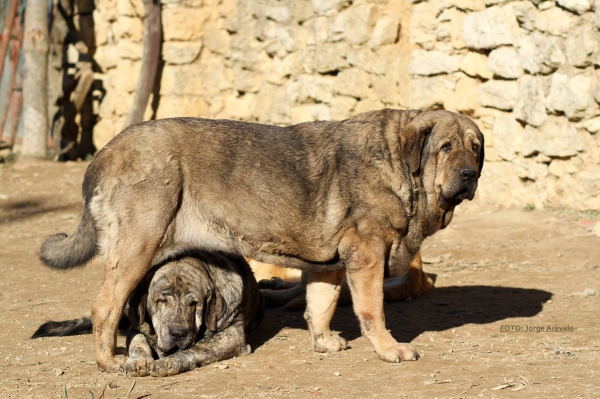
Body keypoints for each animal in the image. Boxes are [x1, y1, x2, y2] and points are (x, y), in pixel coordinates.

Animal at [34, 253, 264, 378]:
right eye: (161, 301)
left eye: (194, 303)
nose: (177, 333)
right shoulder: (137, 327)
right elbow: (139, 343)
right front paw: (138, 361)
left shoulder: (231, 335)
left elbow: (197, 348)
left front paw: (170, 362)